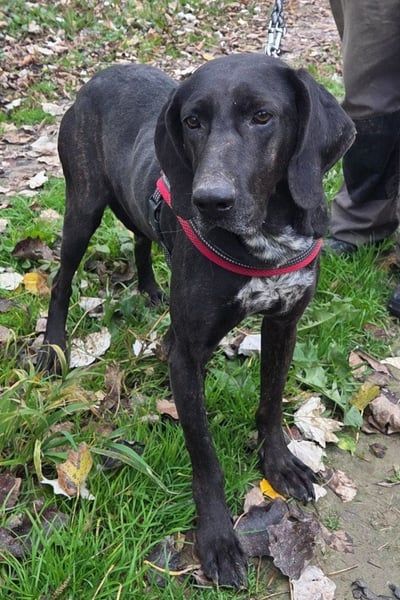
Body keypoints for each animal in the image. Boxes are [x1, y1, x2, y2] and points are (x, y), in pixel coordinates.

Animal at [38, 53, 355, 588]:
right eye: (192, 121)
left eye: (263, 116)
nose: (210, 201)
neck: (266, 240)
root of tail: (99, 77)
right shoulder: (186, 356)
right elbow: (205, 457)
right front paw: (218, 539)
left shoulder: (284, 325)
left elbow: (271, 402)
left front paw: (279, 464)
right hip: (83, 204)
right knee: (62, 280)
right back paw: (53, 348)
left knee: (141, 240)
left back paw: (149, 289)